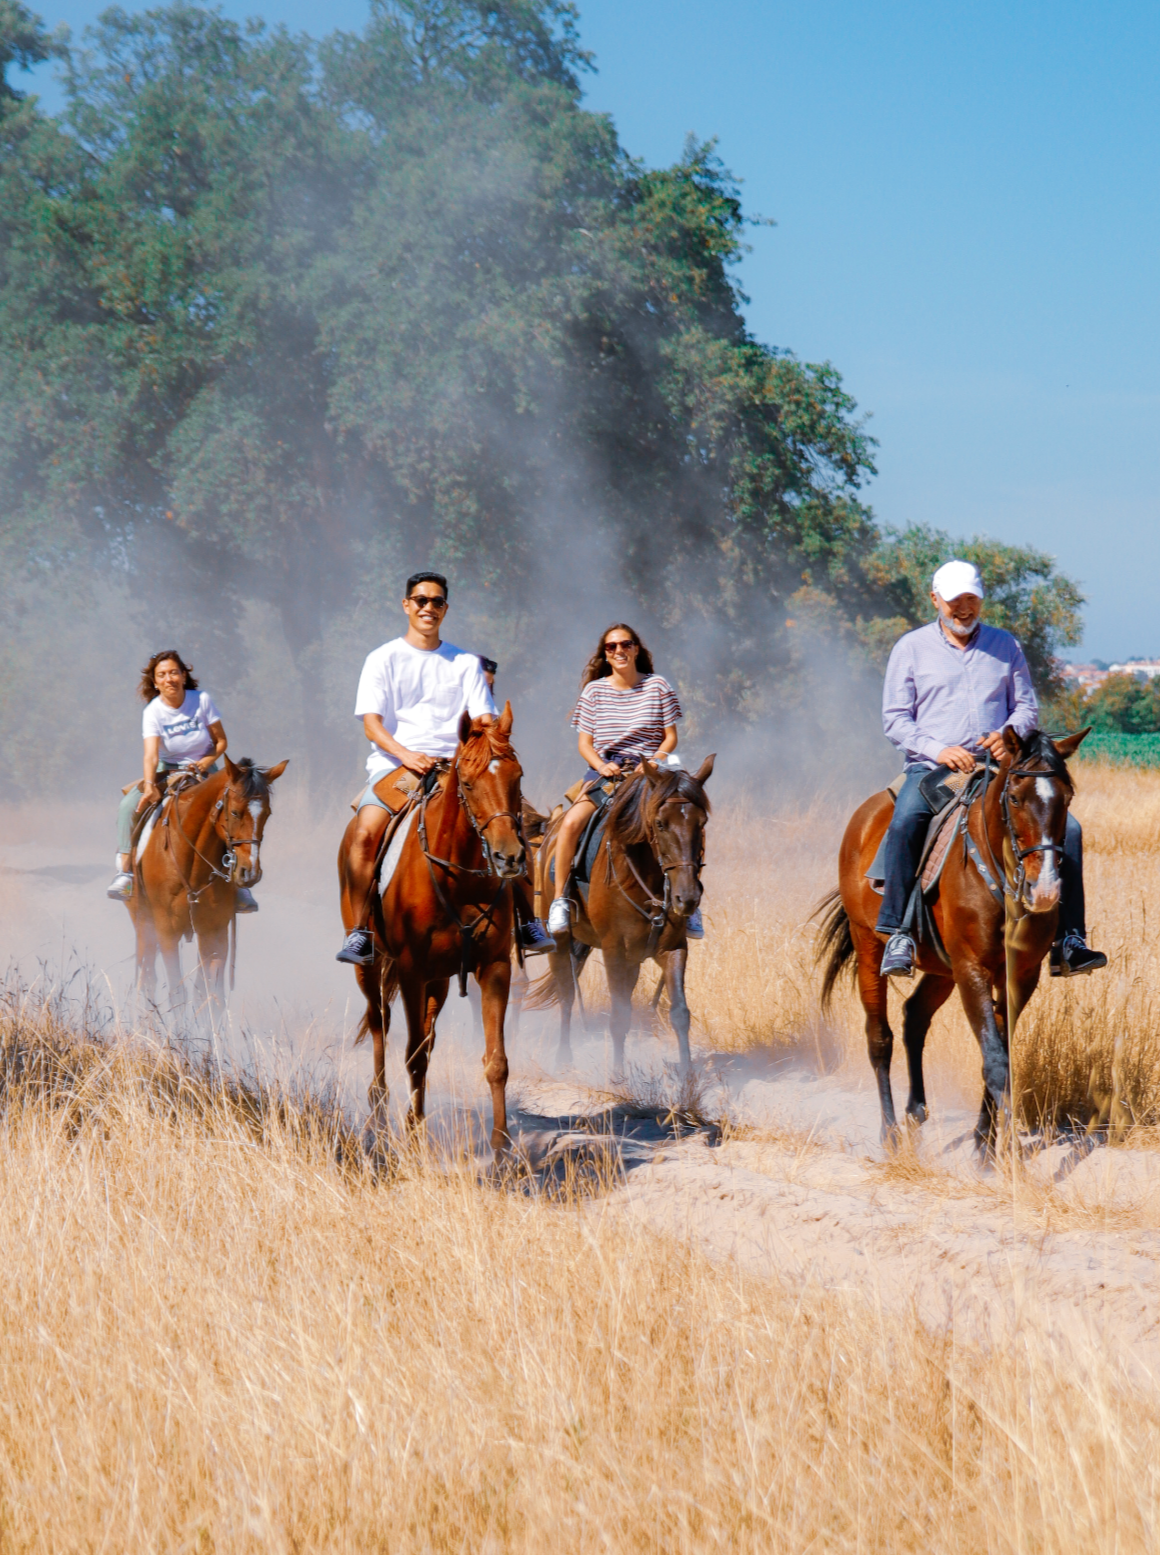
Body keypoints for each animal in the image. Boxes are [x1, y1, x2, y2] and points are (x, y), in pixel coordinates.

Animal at [126, 755, 287, 1020]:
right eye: (234, 812)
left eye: (267, 813)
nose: (250, 872)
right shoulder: (166, 930)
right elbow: (176, 992)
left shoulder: (215, 930)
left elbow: (212, 997)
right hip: (143, 922)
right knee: (146, 974)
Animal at [338, 705, 525, 1156]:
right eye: (469, 783)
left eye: (518, 778)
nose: (508, 857)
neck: (459, 877)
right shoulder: (411, 971)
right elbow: (413, 1055)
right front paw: (414, 1138)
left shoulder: (494, 967)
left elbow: (496, 1060)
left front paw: (501, 1148)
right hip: (372, 967)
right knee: (380, 1023)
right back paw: (379, 1112)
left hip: (439, 979)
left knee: (425, 1035)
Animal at [528, 755, 709, 1076]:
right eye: (660, 823)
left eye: (702, 823)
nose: (686, 898)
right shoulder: (614, 949)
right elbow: (618, 1016)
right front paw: (617, 1076)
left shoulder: (673, 947)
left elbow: (680, 1013)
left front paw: (688, 1078)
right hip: (560, 943)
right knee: (567, 995)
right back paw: (563, 1057)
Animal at [814, 721, 1082, 1150]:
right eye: (1016, 797)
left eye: (1067, 797)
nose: (1044, 890)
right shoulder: (972, 968)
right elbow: (994, 1059)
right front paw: (1002, 1153)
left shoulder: (1019, 975)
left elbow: (1002, 1051)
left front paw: (984, 1140)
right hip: (869, 945)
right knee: (879, 1037)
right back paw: (890, 1133)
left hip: (941, 968)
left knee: (914, 1017)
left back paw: (916, 1112)